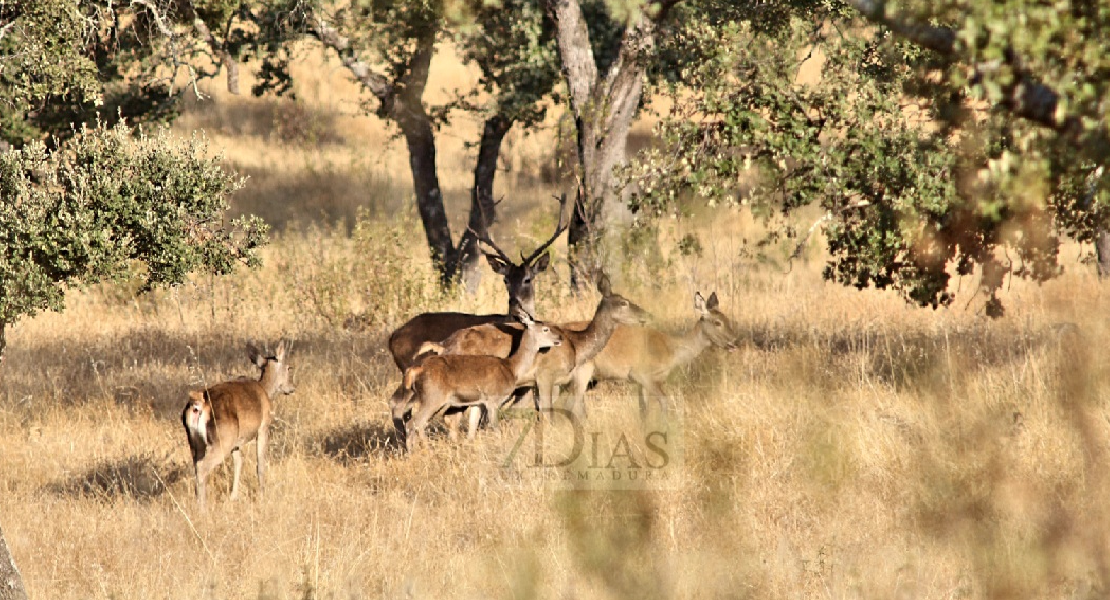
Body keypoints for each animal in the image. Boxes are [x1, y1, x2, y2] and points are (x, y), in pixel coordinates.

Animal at [182, 341, 295, 510]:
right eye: (288, 368)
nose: (292, 388)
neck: (266, 390)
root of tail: (198, 405)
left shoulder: (237, 441)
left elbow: (238, 462)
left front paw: (234, 496)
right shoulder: (263, 427)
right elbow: (260, 463)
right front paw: (263, 495)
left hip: (195, 441)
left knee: (196, 465)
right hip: (222, 438)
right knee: (202, 467)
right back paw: (203, 508)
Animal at [392, 308, 563, 448]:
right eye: (545, 329)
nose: (559, 338)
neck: (511, 367)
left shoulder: (478, 402)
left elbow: (473, 427)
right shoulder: (493, 400)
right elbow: (495, 428)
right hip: (432, 398)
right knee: (413, 422)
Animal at [568, 292, 741, 419]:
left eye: (727, 318)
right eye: (717, 322)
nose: (734, 342)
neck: (671, 351)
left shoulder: (642, 383)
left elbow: (644, 410)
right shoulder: (641, 374)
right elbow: (664, 401)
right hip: (582, 371)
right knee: (574, 406)